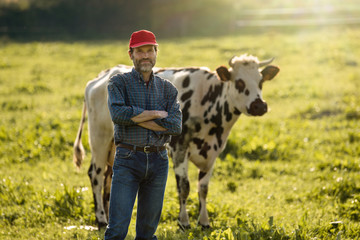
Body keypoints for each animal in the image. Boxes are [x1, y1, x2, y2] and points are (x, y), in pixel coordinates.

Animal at [74, 54, 282, 229]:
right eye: (239, 82)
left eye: (261, 81)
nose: (259, 106)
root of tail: (102, 76)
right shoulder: (179, 148)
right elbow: (184, 187)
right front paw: (184, 222)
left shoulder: (214, 152)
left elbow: (203, 188)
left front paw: (204, 222)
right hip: (99, 139)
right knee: (96, 175)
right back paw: (101, 219)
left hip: (114, 147)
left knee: (109, 177)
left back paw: (110, 216)